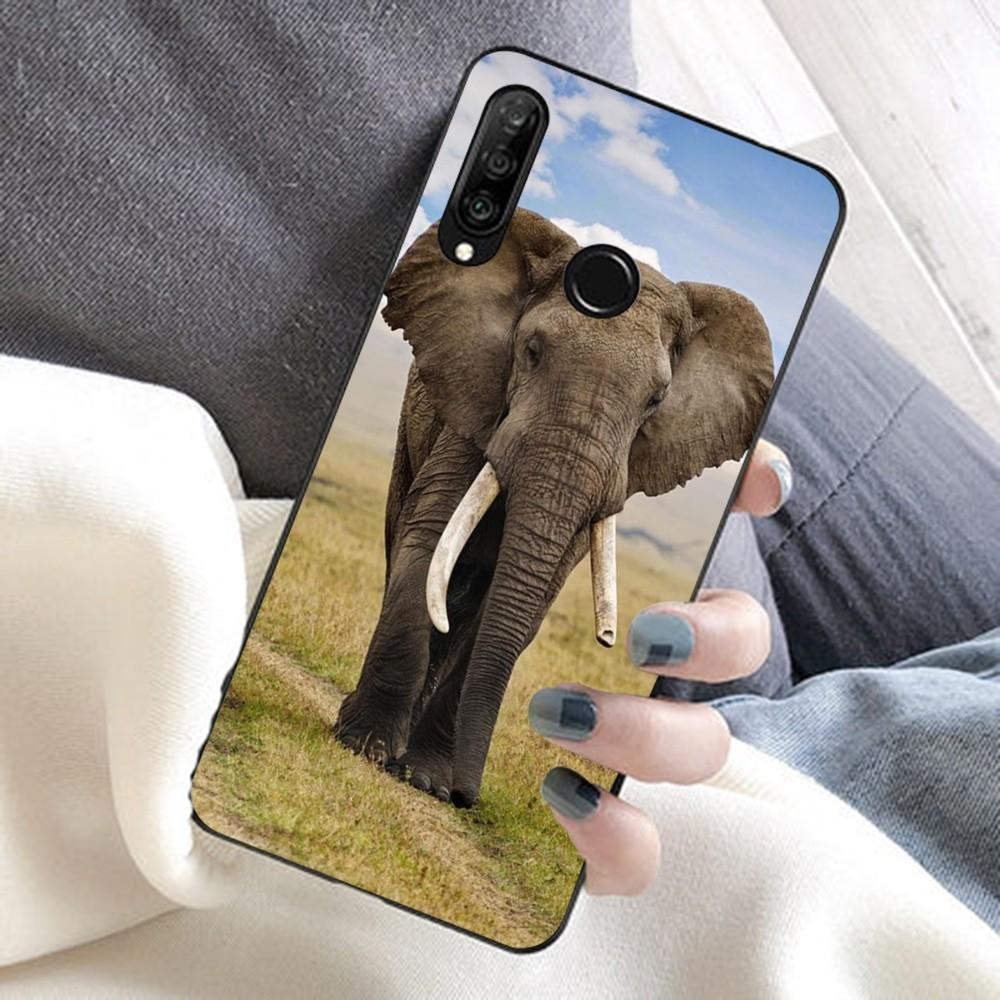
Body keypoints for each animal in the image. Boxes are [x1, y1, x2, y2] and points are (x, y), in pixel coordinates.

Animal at [333, 208, 774, 808]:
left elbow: (524, 606)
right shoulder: (475, 409)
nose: (468, 796)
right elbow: (426, 545)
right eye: (532, 352)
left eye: (656, 399)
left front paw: (426, 779)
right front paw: (366, 746)